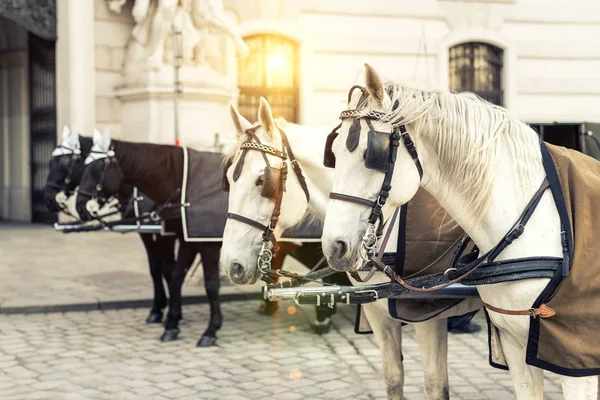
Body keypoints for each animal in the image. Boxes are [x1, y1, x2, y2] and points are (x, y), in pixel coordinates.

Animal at [43, 134, 177, 324]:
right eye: (51, 162)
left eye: (65, 164)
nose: (48, 199)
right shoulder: (146, 233)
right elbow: (155, 268)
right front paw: (157, 310)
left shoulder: (165, 234)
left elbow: (168, 269)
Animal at [220, 97, 478, 400]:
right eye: (228, 179)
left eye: (262, 181)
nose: (232, 265)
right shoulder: (378, 313)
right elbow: (393, 378)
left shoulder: (428, 313)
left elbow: (436, 387)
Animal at [322, 64, 596, 398]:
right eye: (333, 154)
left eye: (371, 153)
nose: (334, 246)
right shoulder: (515, 344)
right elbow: (396, 378)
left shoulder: (575, 359)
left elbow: (434, 384)